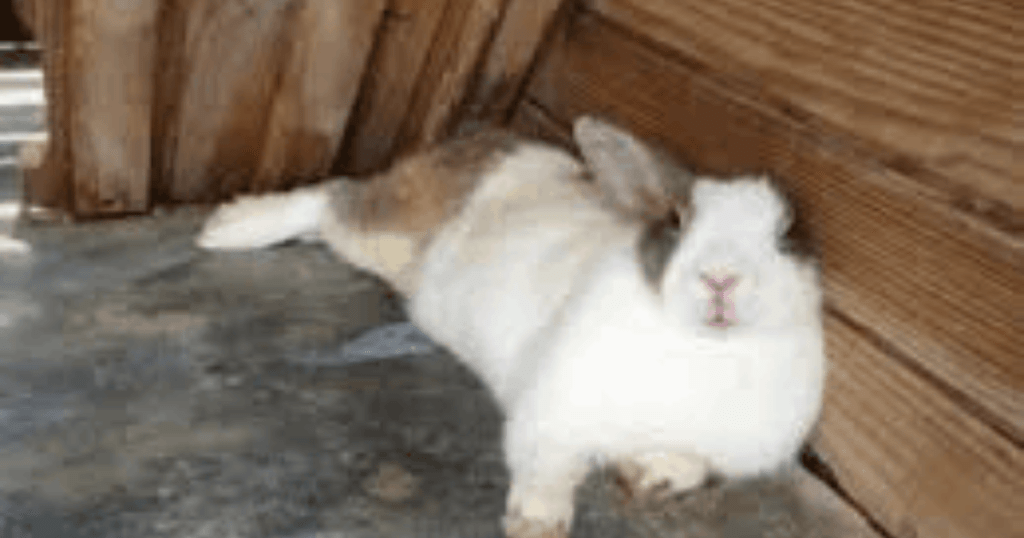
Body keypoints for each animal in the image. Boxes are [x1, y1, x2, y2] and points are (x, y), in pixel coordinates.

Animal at [196, 116, 826, 538]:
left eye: (784, 237)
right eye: (676, 221)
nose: (721, 279)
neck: (704, 348)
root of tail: (485, 139)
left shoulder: (723, 450)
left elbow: (691, 464)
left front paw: (649, 476)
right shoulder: (551, 411)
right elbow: (548, 462)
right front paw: (537, 521)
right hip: (384, 232)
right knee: (331, 197)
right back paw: (227, 228)